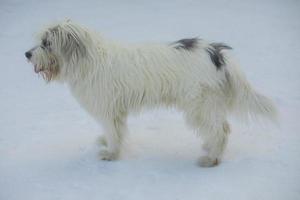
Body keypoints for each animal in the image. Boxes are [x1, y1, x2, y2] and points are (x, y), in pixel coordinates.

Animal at [25, 20, 276, 167]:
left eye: (46, 42)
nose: (27, 54)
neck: (87, 60)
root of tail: (216, 52)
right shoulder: (114, 110)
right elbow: (112, 131)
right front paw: (105, 142)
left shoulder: (108, 108)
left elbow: (114, 132)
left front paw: (111, 154)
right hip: (209, 103)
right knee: (221, 126)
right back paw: (210, 147)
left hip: (199, 103)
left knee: (221, 130)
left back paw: (211, 158)